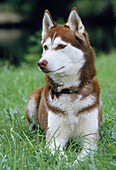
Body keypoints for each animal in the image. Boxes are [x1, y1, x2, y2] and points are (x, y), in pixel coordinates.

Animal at [25, 7, 102, 161]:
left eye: (61, 46)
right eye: (45, 47)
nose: (41, 63)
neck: (70, 92)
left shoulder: (90, 140)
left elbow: (82, 158)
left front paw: (76, 162)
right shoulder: (54, 139)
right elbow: (61, 157)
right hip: (32, 101)